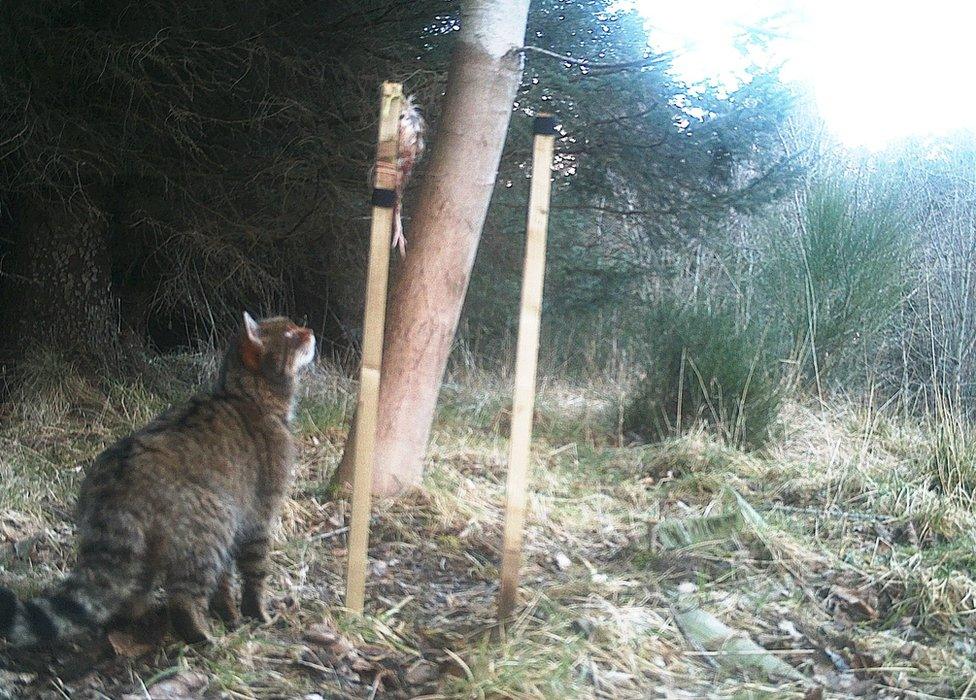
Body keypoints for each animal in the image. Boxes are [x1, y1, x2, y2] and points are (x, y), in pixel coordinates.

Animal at [0, 312, 312, 644]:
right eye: (291, 334)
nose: (309, 331)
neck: (246, 392)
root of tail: (119, 479)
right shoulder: (258, 510)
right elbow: (255, 568)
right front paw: (254, 610)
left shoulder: (242, 509)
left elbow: (225, 578)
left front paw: (227, 610)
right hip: (213, 517)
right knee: (184, 594)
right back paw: (197, 632)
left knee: (131, 587)